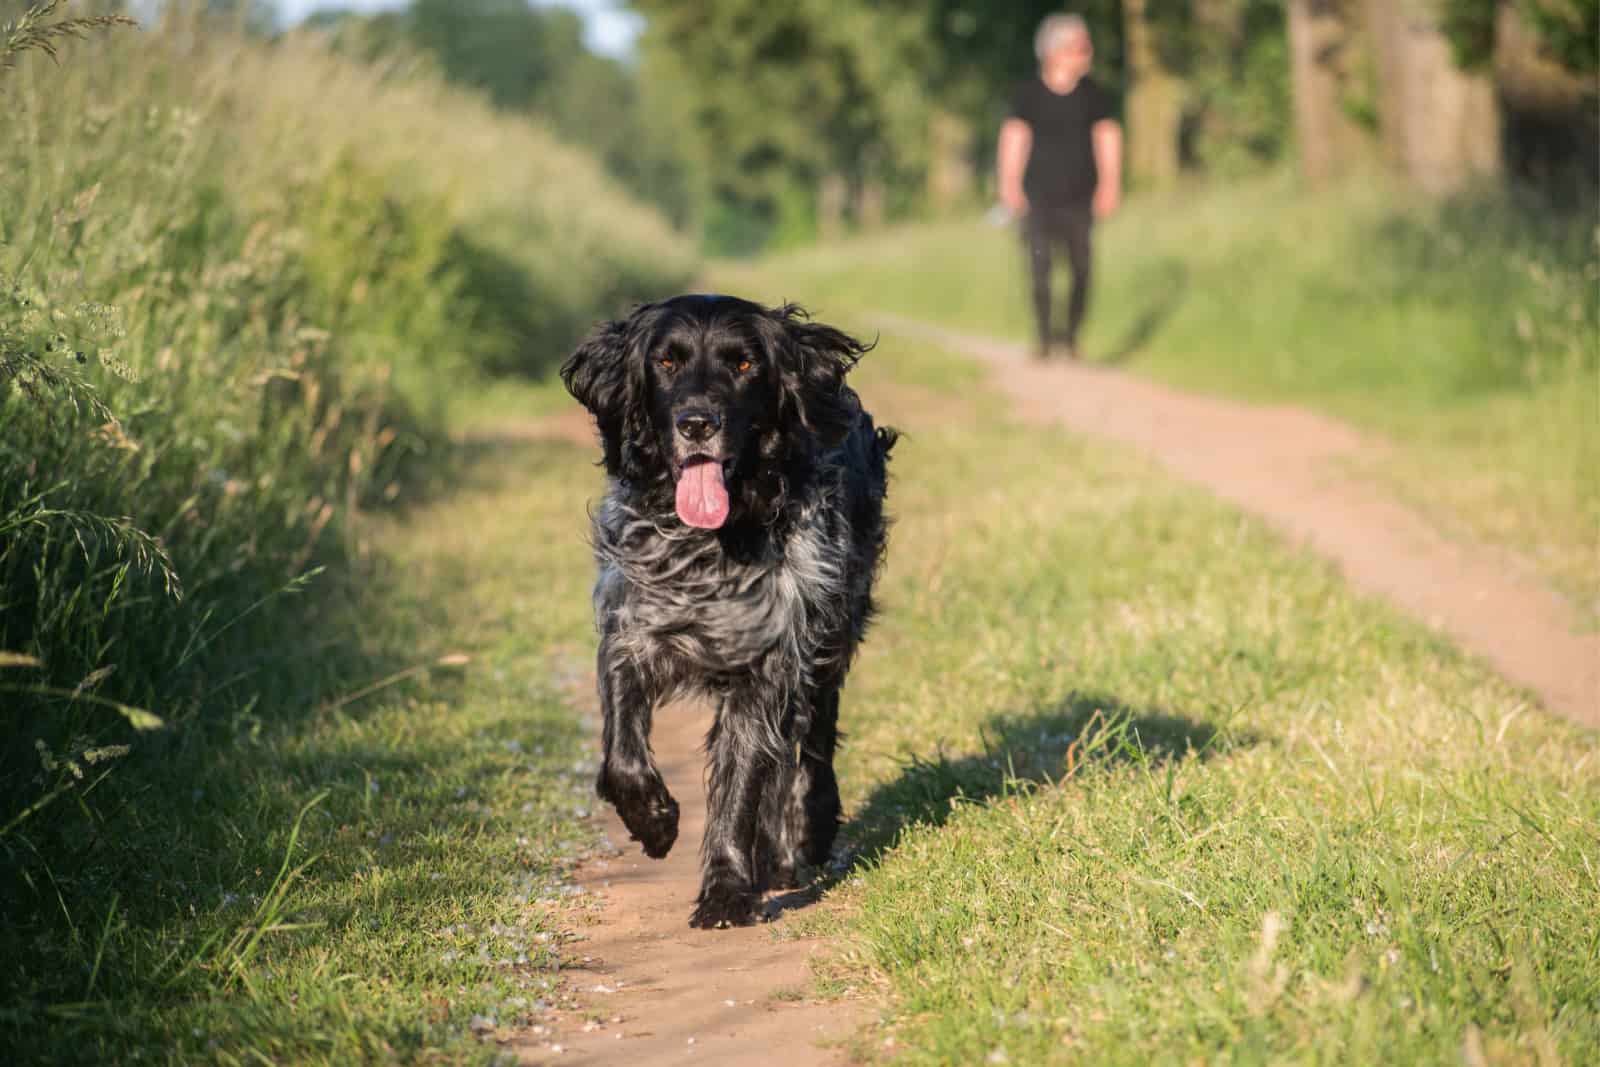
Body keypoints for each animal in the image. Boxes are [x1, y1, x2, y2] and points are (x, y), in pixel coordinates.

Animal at [563, 292, 896, 927]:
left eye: (743, 365)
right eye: (666, 362)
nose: (697, 423)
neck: (712, 544)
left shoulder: (769, 662)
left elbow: (742, 785)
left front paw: (726, 891)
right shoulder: (632, 630)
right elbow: (621, 754)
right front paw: (654, 821)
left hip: (829, 638)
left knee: (814, 744)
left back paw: (805, 835)